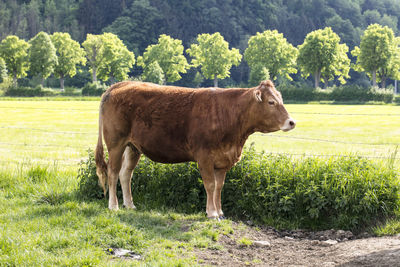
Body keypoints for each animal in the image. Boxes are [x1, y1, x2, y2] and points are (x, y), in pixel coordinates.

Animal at [94, 80, 294, 219]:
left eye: (281, 99)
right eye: (271, 102)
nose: (292, 122)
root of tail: (119, 85)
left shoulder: (223, 160)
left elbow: (219, 186)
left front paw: (220, 211)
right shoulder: (204, 157)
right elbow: (210, 184)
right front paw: (211, 213)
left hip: (133, 147)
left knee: (125, 174)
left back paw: (129, 204)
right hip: (116, 143)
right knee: (112, 172)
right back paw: (114, 205)